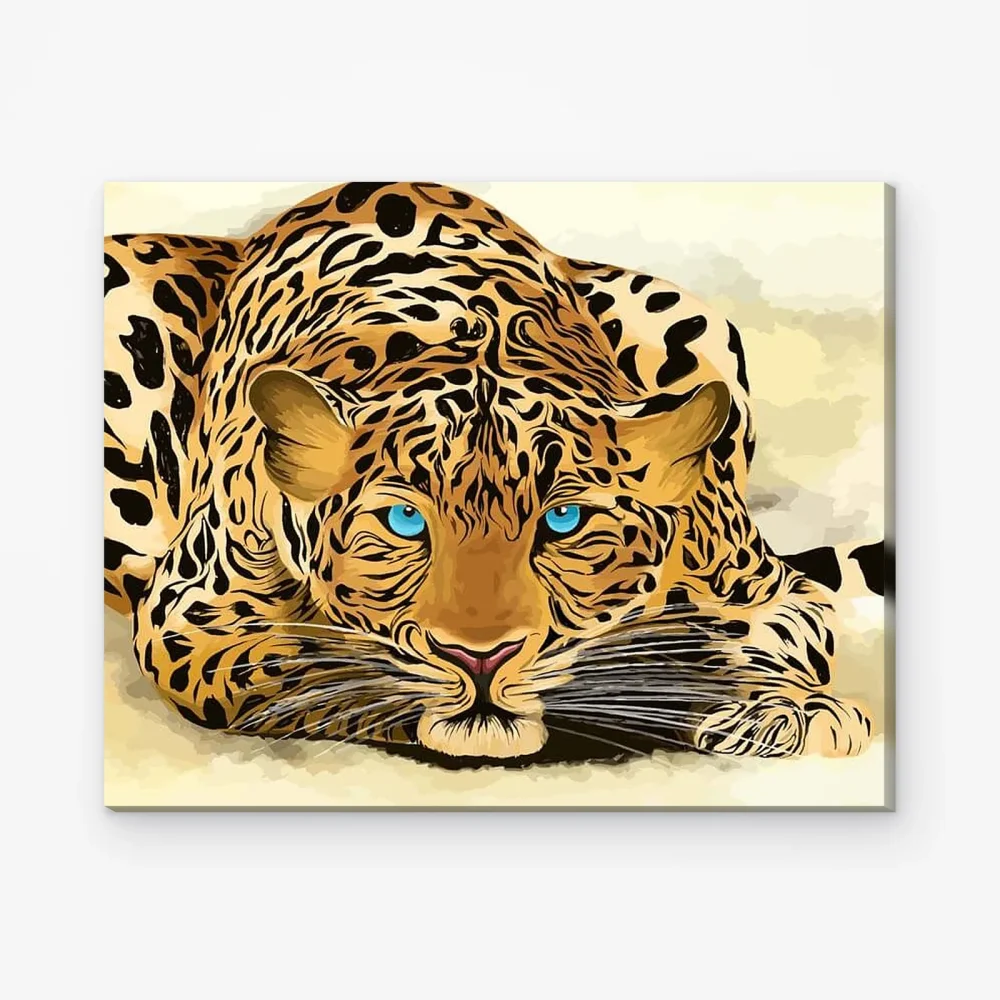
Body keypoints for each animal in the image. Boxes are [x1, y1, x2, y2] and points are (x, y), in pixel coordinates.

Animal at [104, 181, 884, 762]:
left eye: (564, 520)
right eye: (404, 520)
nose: (480, 658)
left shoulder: (768, 585)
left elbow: (781, 635)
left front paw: (789, 706)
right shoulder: (189, 612)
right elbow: (298, 659)